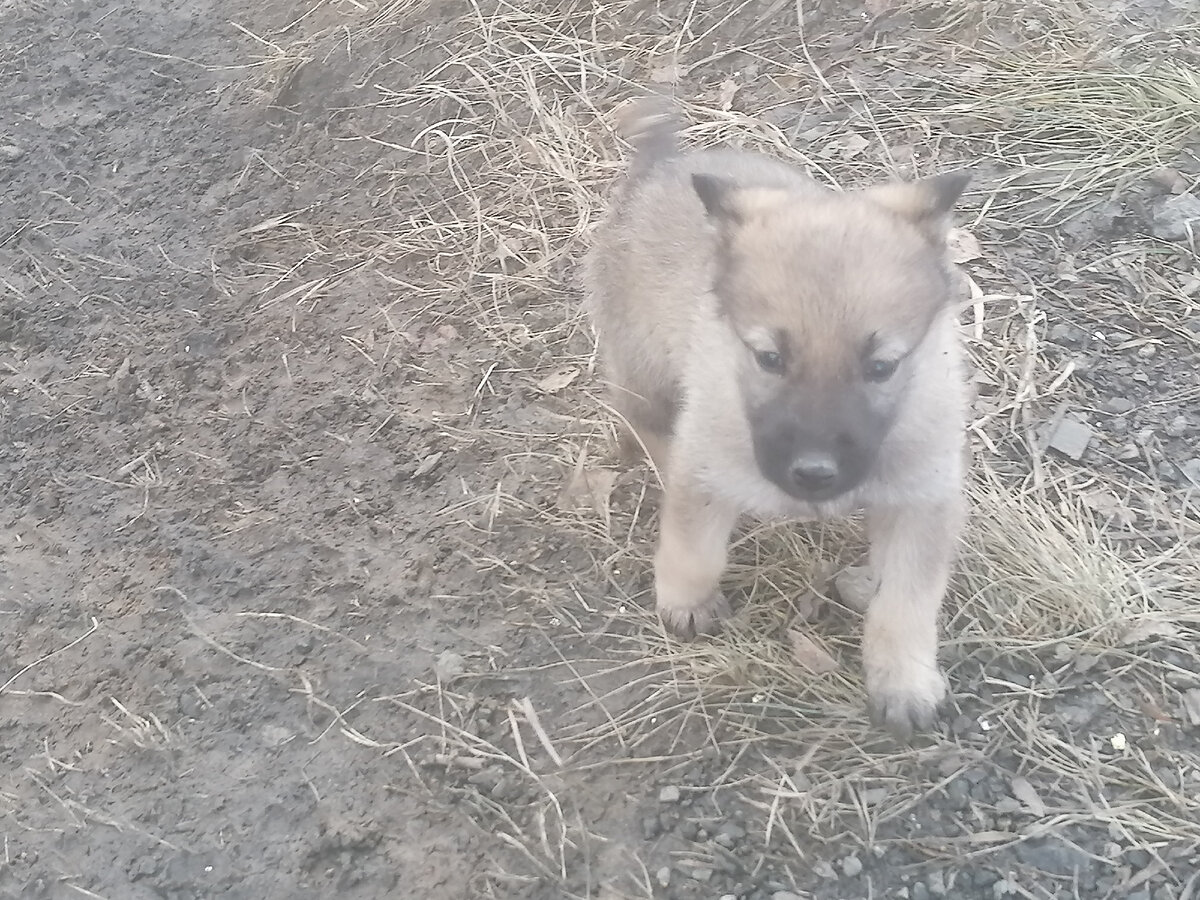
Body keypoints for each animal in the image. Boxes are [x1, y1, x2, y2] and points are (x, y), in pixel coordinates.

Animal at [583, 98, 974, 739]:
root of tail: (664, 162)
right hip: (645, 376)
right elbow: (693, 545)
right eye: (769, 358)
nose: (813, 473)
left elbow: (907, 603)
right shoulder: (706, 464)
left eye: (881, 366)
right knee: (648, 427)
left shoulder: (923, 499)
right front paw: (687, 601)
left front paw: (904, 680)